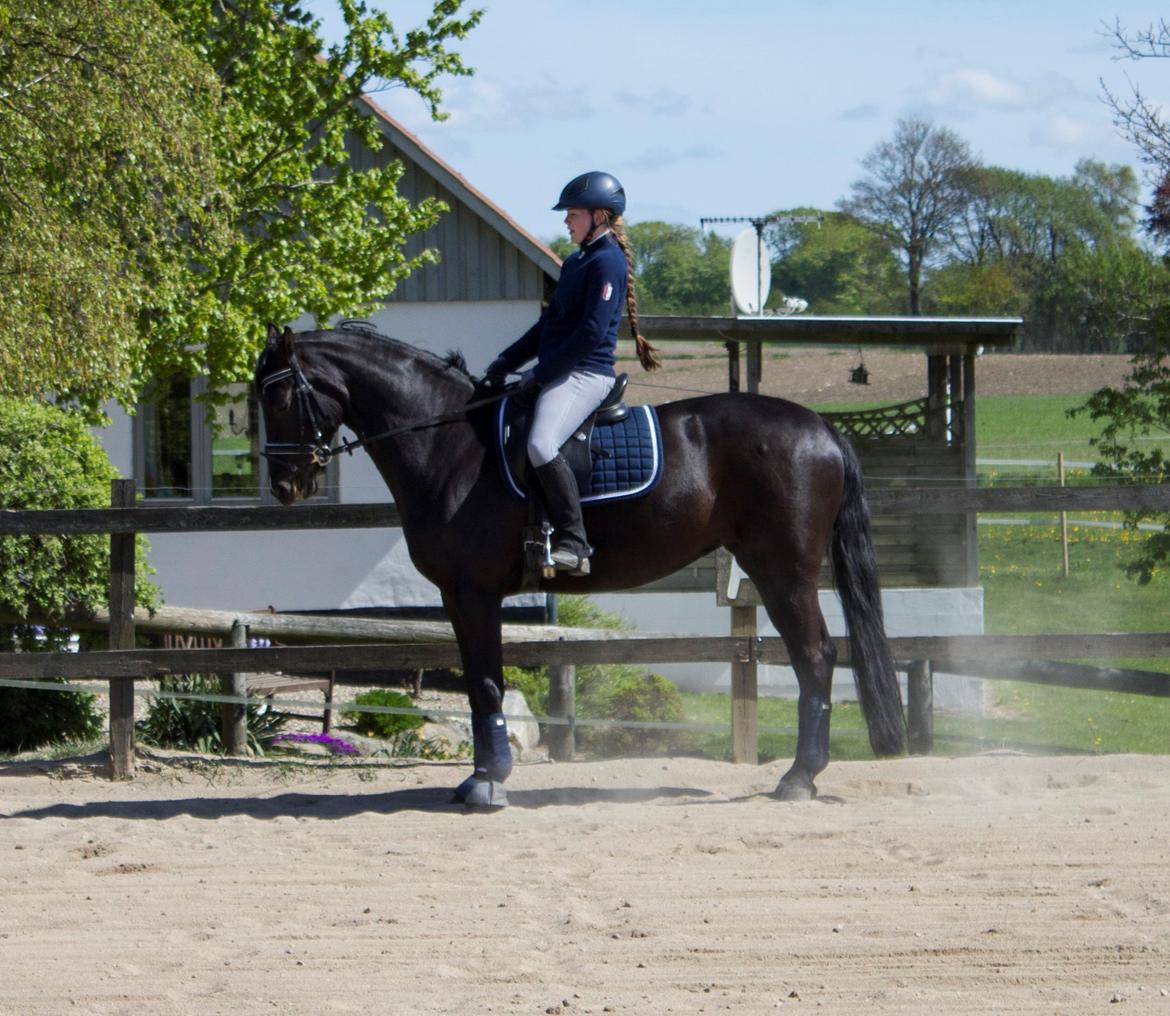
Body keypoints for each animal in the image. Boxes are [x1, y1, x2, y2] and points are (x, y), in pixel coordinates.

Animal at [256, 320, 903, 805]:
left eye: (277, 394)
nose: (287, 486)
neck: (451, 445)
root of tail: (820, 428)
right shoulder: (460, 596)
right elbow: (479, 682)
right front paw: (480, 777)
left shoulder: (473, 590)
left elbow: (486, 683)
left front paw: (488, 783)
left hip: (783, 571)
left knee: (815, 657)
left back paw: (798, 778)